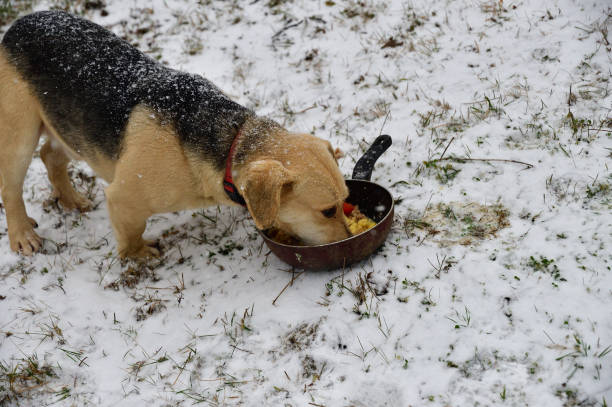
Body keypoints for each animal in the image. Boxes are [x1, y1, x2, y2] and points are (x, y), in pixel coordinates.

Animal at [0, 11, 350, 260]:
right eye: (327, 211)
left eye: (346, 202)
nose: (348, 241)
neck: (230, 143)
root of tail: (17, 25)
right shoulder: (124, 198)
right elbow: (131, 232)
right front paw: (139, 255)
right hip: (19, 133)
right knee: (11, 189)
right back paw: (23, 236)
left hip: (70, 130)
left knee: (50, 155)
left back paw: (71, 199)